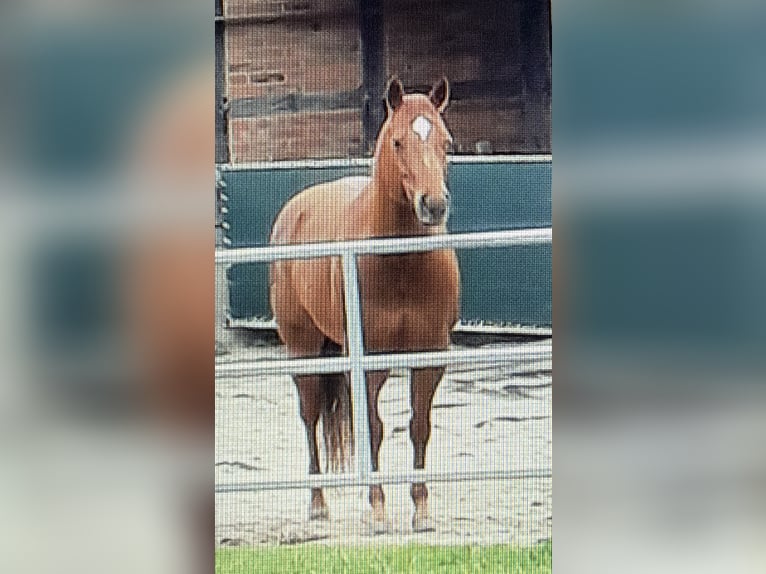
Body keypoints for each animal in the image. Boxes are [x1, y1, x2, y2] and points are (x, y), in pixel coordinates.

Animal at [269, 77, 460, 532]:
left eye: (446, 142)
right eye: (397, 141)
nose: (434, 204)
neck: (400, 263)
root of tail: (294, 210)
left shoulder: (431, 355)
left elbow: (419, 426)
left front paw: (421, 509)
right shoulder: (369, 359)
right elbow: (372, 428)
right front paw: (378, 509)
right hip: (303, 351)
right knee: (310, 417)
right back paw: (318, 504)